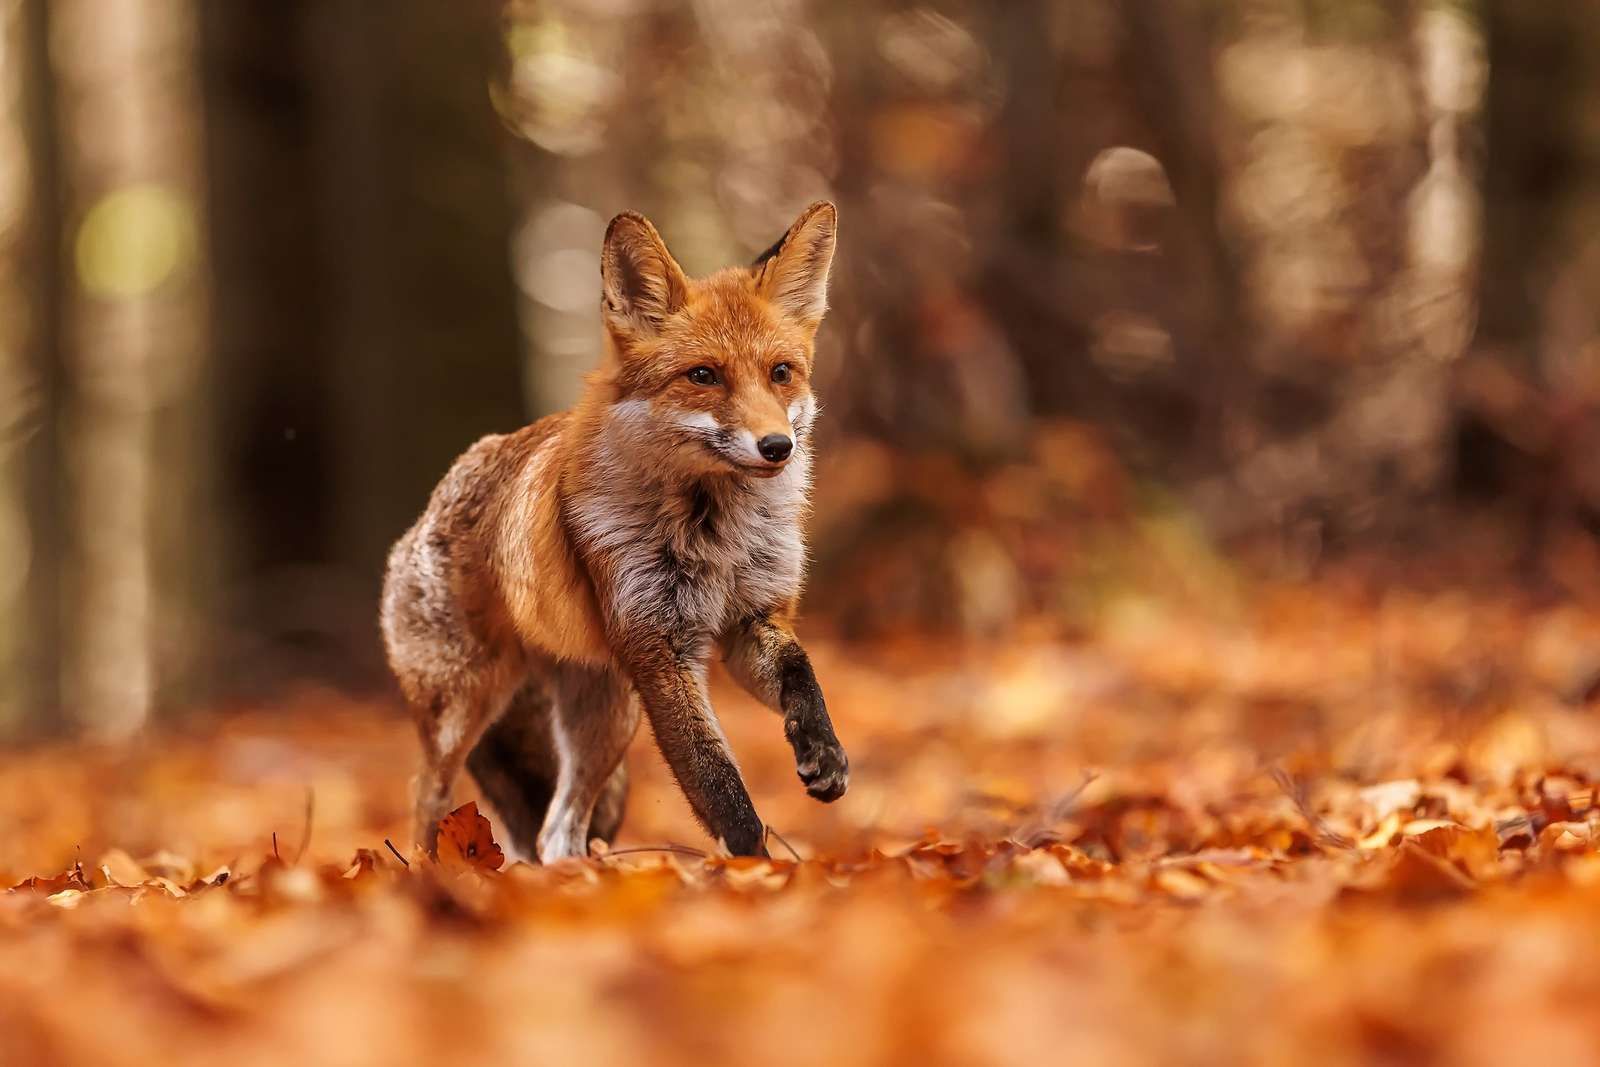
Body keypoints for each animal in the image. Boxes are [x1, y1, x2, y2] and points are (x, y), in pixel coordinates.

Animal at [380, 201, 848, 862]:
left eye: (781, 373)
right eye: (704, 375)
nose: (777, 446)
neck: (719, 536)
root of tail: (432, 503)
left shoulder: (750, 622)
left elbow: (802, 676)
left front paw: (823, 751)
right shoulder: (660, 651)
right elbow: (721, 790)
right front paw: (757, 876)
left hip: (606, 719)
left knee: (556, 830)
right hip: (461, 714)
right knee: (426, 799)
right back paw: (423, 874)